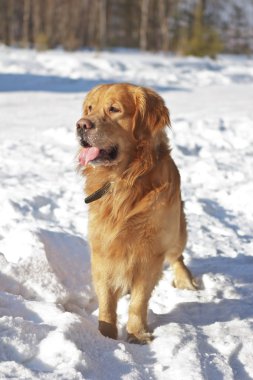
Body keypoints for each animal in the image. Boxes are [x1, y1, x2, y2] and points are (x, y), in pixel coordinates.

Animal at [76, 83, 197, 344]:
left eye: (114, 109)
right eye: (89, 108)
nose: (81, 125)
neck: (124, 181)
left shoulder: (149, 253)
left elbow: (139, 301)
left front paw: (136, 334)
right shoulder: (102, 249)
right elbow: (106, 300)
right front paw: (106, 336)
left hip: (175, 232)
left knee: (177, 257)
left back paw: (186, 281)